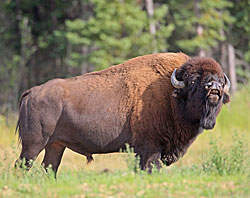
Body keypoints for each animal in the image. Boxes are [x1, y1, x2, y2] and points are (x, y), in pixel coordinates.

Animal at [15, 52, 230, 175]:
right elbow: (150, 168)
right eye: (193, 81)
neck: (171, 94)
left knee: (49, 168)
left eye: (220, 79)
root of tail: (32, 92)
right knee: (22, 165)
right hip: (33, 145)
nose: (214, 87)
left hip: (55, 146)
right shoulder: (150, 149)